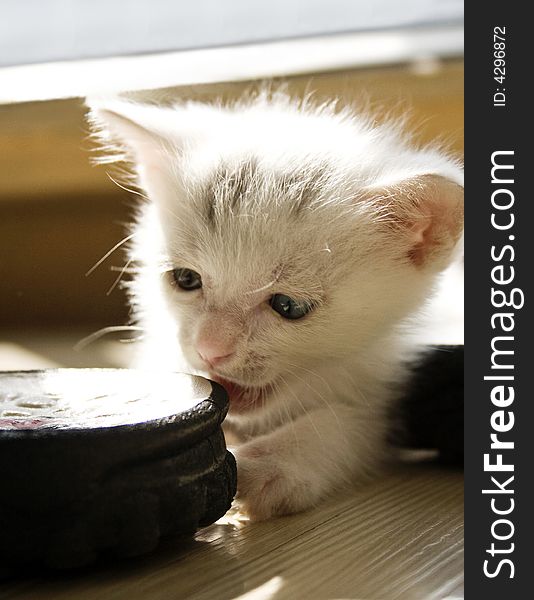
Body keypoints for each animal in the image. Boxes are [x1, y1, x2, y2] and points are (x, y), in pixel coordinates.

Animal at [88, 91, 464, 516]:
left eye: (288, 306)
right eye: (186, 280)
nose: (210, 350)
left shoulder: (394, 376)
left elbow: (361, 419)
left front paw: (276, 460)